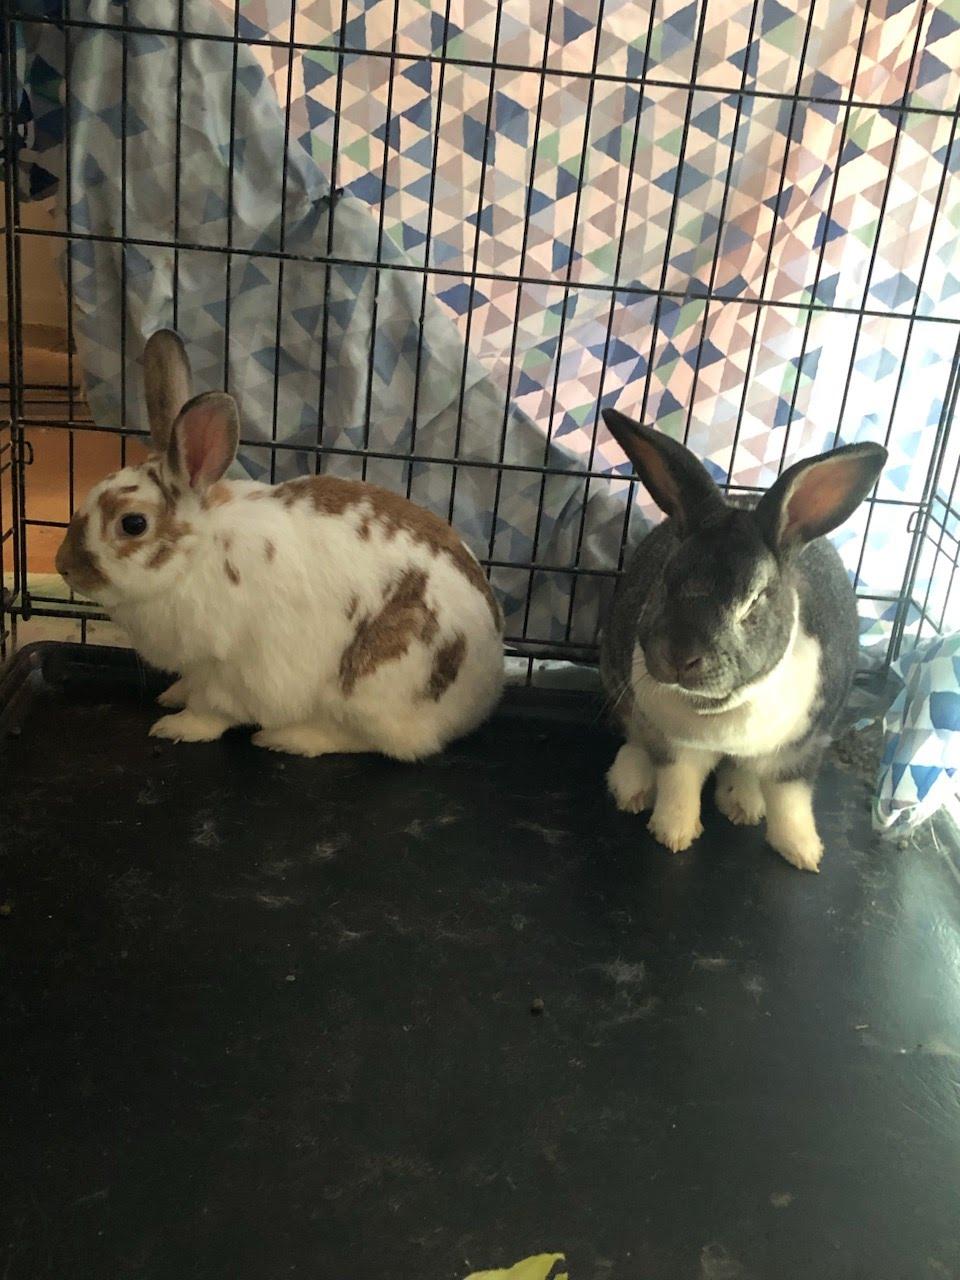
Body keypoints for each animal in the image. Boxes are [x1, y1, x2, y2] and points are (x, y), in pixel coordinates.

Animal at [54, 330, 505, 761]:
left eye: (133, 524)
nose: (64, 566)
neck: (196, 556)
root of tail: (481, 699)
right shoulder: (200, 668)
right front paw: (172, 696)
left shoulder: (235, 671)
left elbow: (212, 710)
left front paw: (177, 727)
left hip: (371, 684)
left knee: (386, 743)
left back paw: (289, 738)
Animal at [598, 408, 887, 872]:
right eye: (666, 579)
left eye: (753, 601)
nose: (680, 656)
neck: (720, 709)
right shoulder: (674, 746)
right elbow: (678, 786)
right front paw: (673, 834)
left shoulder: (801, 750)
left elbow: (790, 800)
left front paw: (803, 853)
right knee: (636, 740)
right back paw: (632, 786)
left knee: (747, 774)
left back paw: (744, 804)